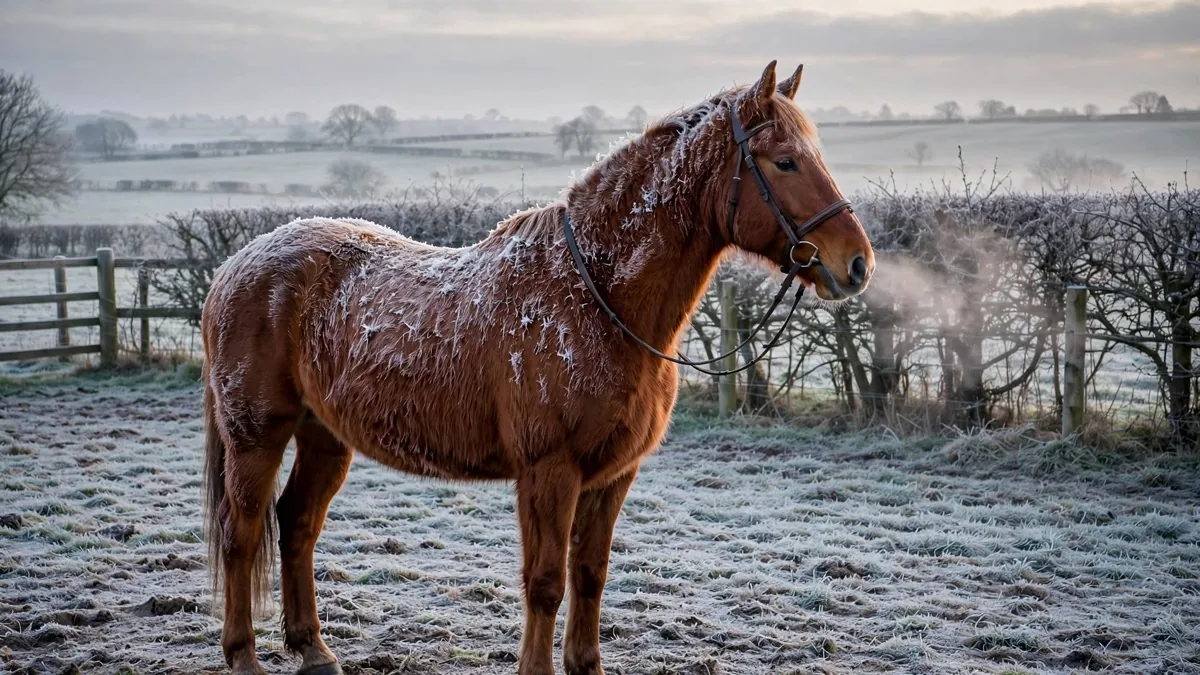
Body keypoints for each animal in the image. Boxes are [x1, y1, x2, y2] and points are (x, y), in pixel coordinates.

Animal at [201, 60, 875, 675]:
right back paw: (243, 656)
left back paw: (313, 650)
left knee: (297, 525)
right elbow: (547, 582)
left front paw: (587, 664)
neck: (597, 296)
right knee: (242, 533)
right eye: (784, 162)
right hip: (257, 437)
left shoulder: (612, 475)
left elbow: (590, 574)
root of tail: (233, 267)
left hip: (324, 436)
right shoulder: (550, 470)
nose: (857, 264)